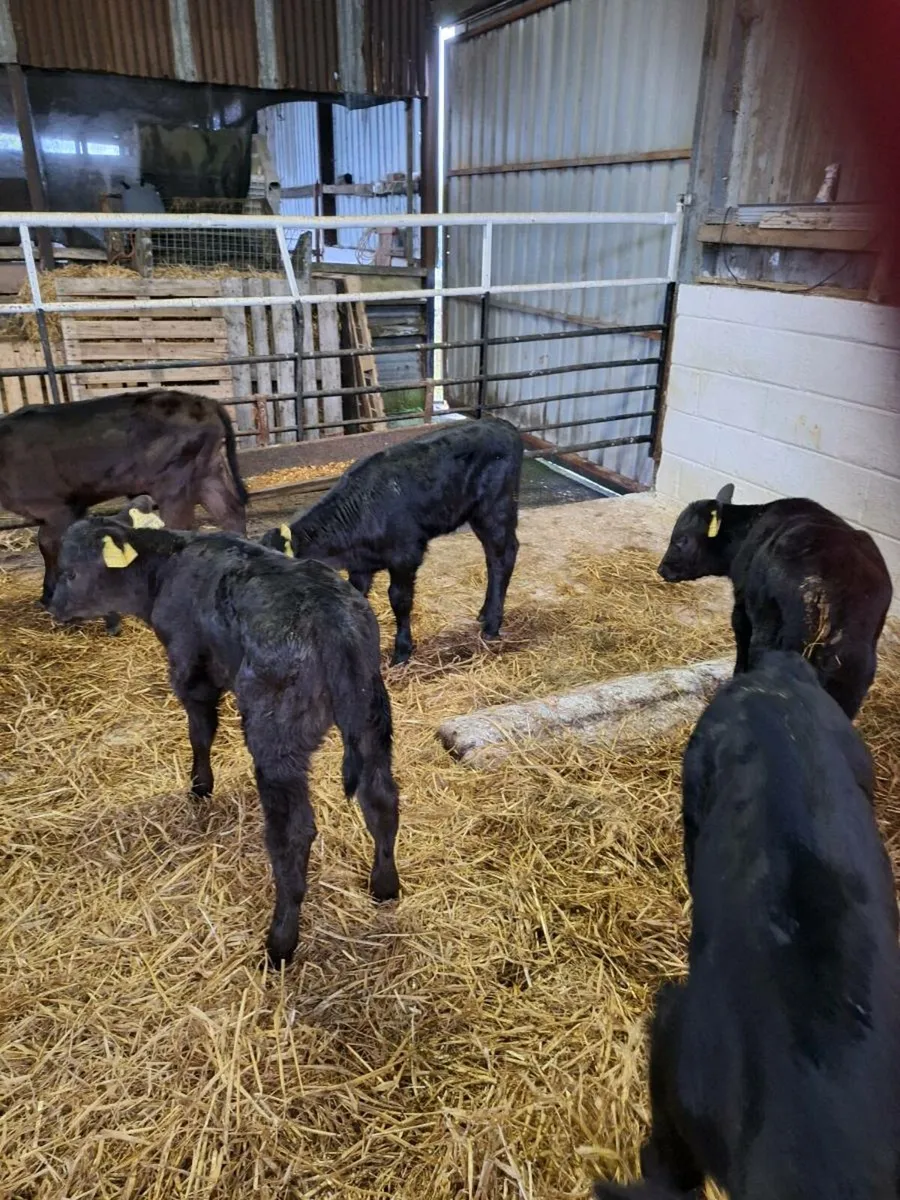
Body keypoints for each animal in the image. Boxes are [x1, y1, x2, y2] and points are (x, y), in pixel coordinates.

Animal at [0, 388, 248, 633]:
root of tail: (203, 401)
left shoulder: (56, 509)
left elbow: (51, 547)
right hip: (208, 473)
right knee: (230, 512)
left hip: (174, 481)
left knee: (181, 527)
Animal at [48, 502, 400, 967]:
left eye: (69, 572)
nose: (51, 606)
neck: (168, 567)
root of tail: (333, 619)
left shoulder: (189, 667)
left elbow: (200, 731)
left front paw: (200, 786)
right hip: (371, 715)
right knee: (381, 798)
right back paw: (385, 886)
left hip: (276, 734)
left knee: (293, 833)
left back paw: (280, 942)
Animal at [260, 417, 523, 665]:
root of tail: (500, 424)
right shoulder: (361, 565)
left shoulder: (405, 556)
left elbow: (400, 600)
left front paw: (402, 651)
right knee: (492, 557)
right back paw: (485, 612)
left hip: (496, 509)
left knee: (503, 557)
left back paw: (492, 625)